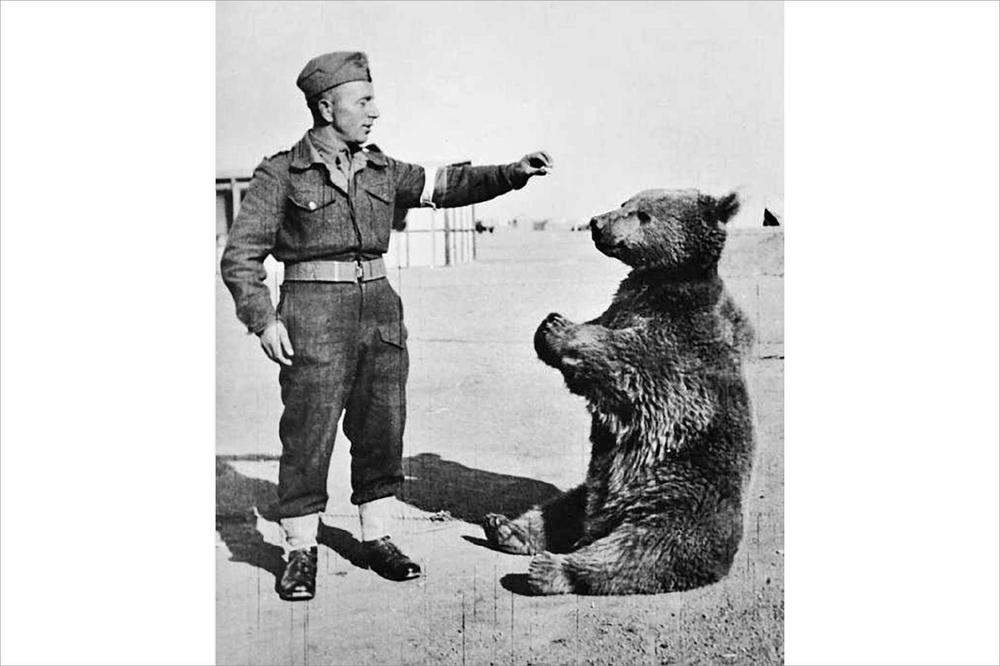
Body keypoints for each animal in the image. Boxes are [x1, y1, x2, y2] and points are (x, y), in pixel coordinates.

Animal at [482, 188, 756, 595]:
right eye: (625, 202)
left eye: (642, 213)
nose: (597, 222)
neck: (662, 279)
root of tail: (603, 521)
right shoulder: (622, 304)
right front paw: (549, 323)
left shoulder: (679, 336)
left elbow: (627, 360)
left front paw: (560, 328)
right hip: (592, 488)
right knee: (560, 507)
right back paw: (505, 527)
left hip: (678, 500)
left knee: (640, 550)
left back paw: (550, 569)